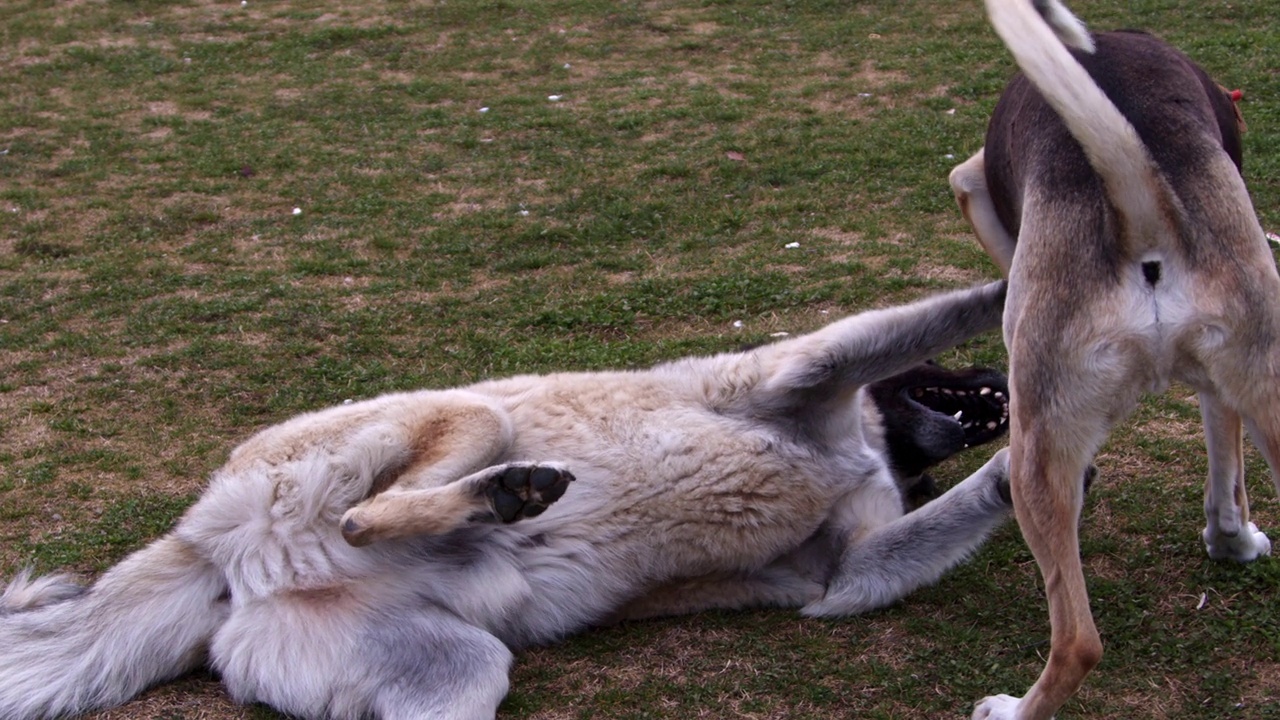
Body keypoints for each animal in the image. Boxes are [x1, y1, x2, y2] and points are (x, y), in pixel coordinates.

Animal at [952, 1, 1280, 717]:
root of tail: (1142, 210)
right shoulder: (1228, 389)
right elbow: (1228, 476)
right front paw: (1234, 543)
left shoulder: (971, 182)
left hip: (1037, 452)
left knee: (1078, 642)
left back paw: (1011, 708)